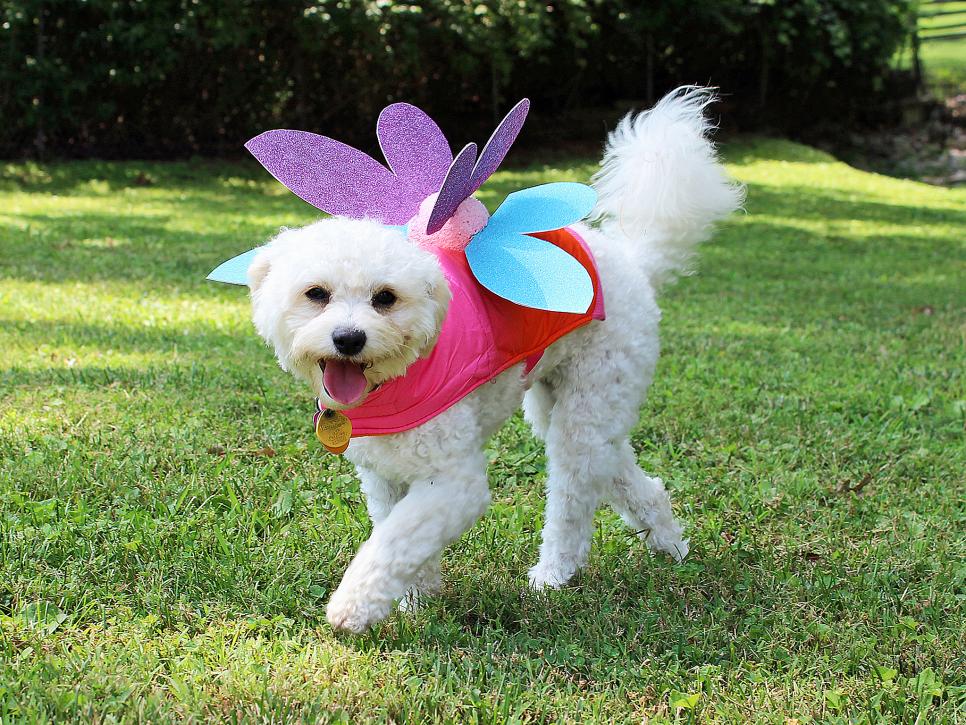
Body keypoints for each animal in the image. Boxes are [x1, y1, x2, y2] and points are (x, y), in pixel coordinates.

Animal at [246, 89, 744, 632]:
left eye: (385, 298)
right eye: (316, 294)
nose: (349, 339)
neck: (399, 378)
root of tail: (631, 261)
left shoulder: (454, 482)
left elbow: (393, 541)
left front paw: (354, 606)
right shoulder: (384, 475)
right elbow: (401, 539)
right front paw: (418, 596)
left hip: (588, 406)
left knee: (573, 501)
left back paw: (555, 574)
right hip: (570, 408)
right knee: (623, 471)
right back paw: (671, 543)